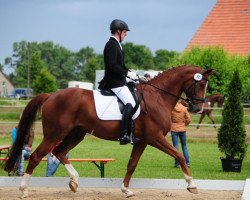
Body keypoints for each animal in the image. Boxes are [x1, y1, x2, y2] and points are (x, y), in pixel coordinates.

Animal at [4, 65, 213, 198]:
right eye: (201, 84)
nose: (198, 109)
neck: (158, 97)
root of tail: (51, 95)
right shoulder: (155, 138)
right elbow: (179, 155)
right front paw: (192, 185)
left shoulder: (142, 141)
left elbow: (132, 164)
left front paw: (126, 190)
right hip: (55, 134)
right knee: (37, 156)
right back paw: (23, 190)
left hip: (76, 133)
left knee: (60, 151)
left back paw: (74, 181)